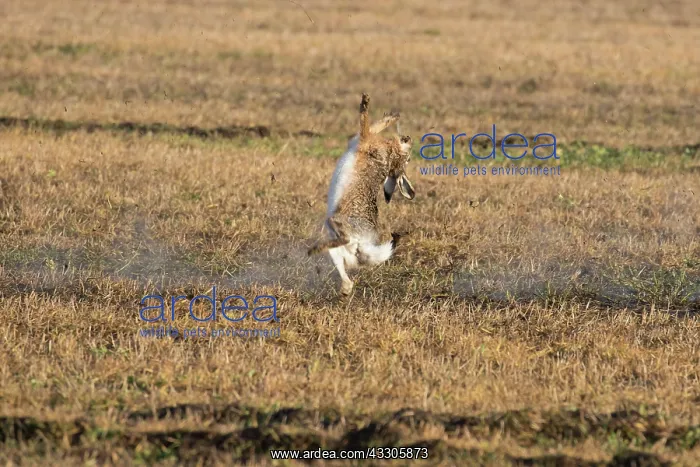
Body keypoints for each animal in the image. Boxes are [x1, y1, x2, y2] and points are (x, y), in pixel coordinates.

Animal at [308, 93, 415, 295]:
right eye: (409, 159)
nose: (408, 138)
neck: (392, 156)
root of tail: (361, 243)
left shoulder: (365, 138)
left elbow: (367, 123)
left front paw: (366, 102)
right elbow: (375, 125)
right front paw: (393, 115)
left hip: (337, 224)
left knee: (343, 237)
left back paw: (312, 250)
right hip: (339, 251)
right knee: (346, 277)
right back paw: (343, 291)